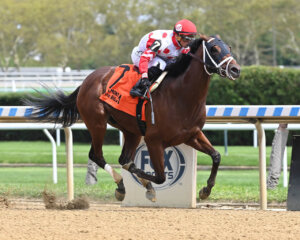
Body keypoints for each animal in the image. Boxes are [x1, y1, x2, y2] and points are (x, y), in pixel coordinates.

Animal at [25, 34, 241, 202]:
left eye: (228, 47)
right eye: (214, 49)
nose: (235, 69)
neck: (180, 95)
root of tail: (87, 80)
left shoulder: (191, 135)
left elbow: (216, 156)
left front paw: (205, 190)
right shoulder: (154, 140)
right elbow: (159, 176)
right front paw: (144, 182)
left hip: (131, 130)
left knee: (122, 158)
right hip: (97, 123)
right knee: (97, 155)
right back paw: (121, 186)